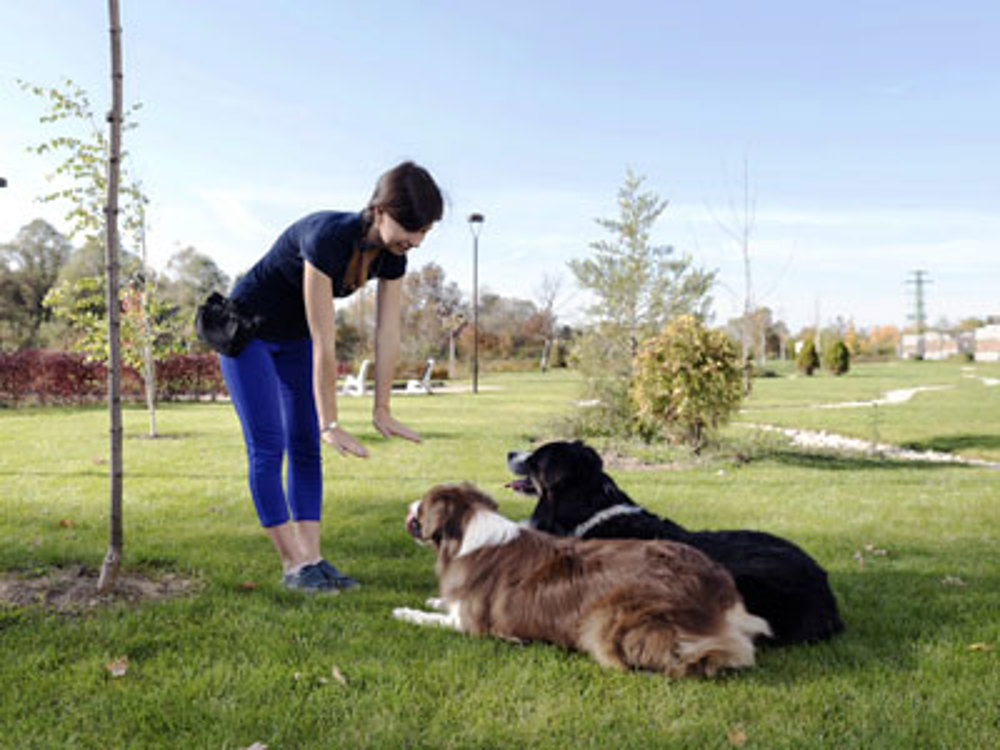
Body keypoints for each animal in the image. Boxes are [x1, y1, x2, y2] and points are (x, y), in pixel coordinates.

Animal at [394, 484, 768, 680]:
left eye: (422, 505)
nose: (408, 505)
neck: (467, 533)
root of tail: (720, 589)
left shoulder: (470, 625)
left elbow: (431, 618)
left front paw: (405, 612)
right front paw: (434, 599)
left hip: (610, 620)